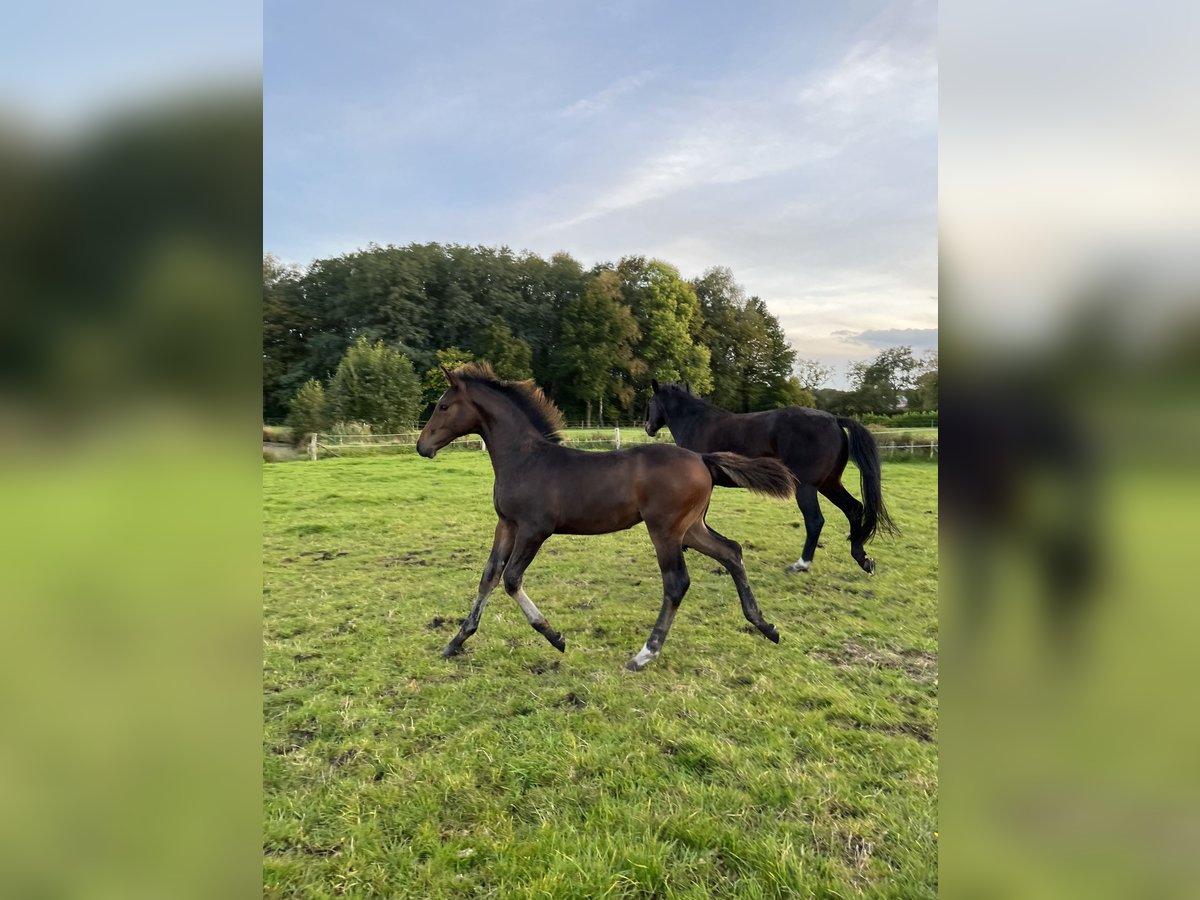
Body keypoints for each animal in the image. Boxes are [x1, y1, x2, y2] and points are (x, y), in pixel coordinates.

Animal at [412, 364, 796, 672]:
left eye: (443, 405)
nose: (421, 446)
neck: (524, 459)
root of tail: (703, 458)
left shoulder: (535, 530)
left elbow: (511, 579)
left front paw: (555, 636)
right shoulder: (506, 525)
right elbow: (488, 577)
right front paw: (456, 641)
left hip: (666, 530)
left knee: (677, 583)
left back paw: (644, 654)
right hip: (691, 528)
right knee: (731, 551)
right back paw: (766, 626)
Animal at [648, 381, 892, 578]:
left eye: (650, 402)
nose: (649, 428)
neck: (697, 422)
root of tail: (834, 419)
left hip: (806, 487)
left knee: (815, 520)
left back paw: (801, 564)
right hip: (829, 484)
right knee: (854, 509)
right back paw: (863, 559)